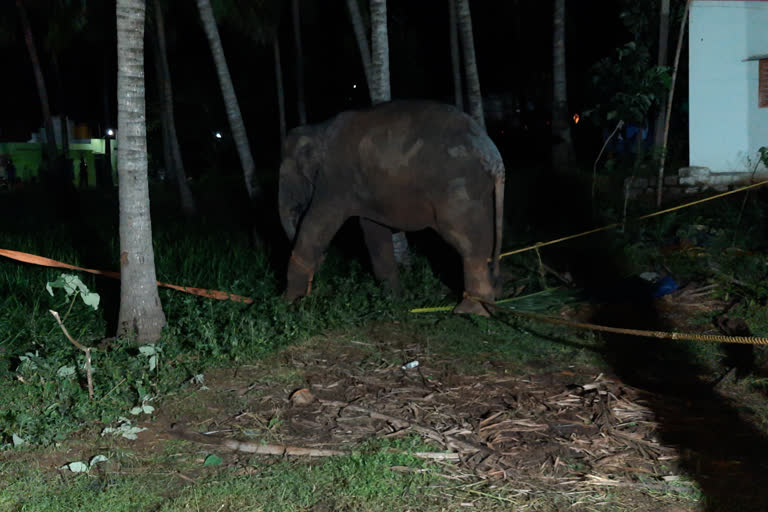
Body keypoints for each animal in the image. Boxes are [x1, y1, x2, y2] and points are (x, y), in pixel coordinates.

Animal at [280, 99, 508, 316]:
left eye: (286, 174)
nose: (323, 262)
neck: (318, 129)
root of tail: (494, 157)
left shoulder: (335, 179)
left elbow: (315, 226)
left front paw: (290, 303)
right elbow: (373, 233)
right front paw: (393, 300)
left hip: (457, 189)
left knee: (466, 241)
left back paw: (471, 311)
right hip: (480, 192)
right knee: (483, 236)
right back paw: (491, 300)